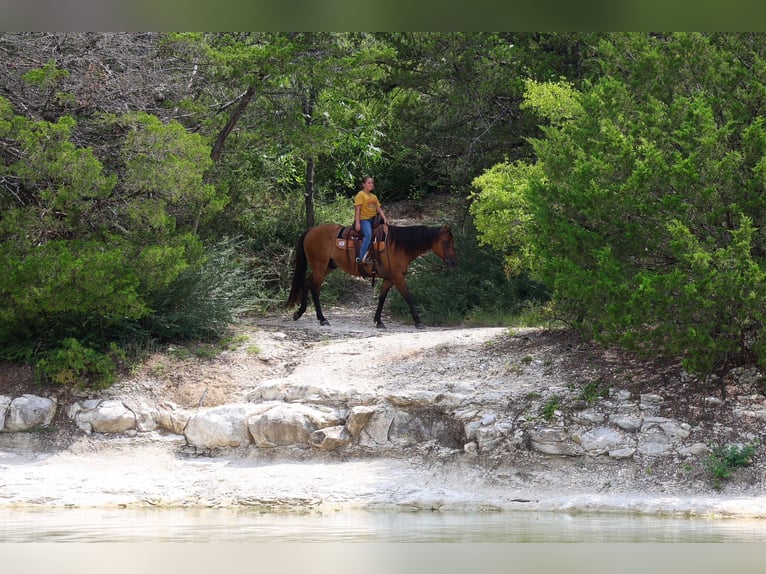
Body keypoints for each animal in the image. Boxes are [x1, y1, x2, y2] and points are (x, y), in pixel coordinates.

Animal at [287, 223, 457, 329]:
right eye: (446, 242)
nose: (454, 262)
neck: (398, 245)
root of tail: (311, 231)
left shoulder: (389, 278)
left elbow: (382, 298)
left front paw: (379, 321)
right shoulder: (397, 277)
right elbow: (408, 296)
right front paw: (418, 322)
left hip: (328, 266)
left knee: (307, 283)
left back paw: (299, 313)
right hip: (319, 266)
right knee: (315, 288)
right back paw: (322, 319)